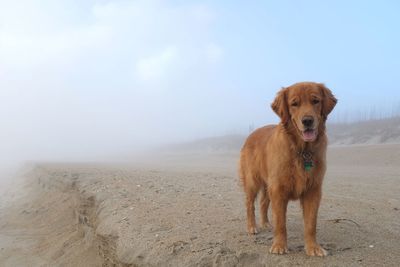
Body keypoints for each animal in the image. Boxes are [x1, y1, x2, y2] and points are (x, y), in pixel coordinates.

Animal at [239, 81, 336, 258]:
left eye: (315, 101)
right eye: (294, 104)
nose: (307, 121)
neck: (302, 150)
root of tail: (251, 134)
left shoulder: (313, 190)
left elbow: (311, 223)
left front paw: (313, 247)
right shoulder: (278, 189)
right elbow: (281, 223)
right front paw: (279, 246)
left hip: (267, 184)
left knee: (263, 203)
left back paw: (265, 223)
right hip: (252, 181)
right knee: (250, 205)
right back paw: (252, 227)